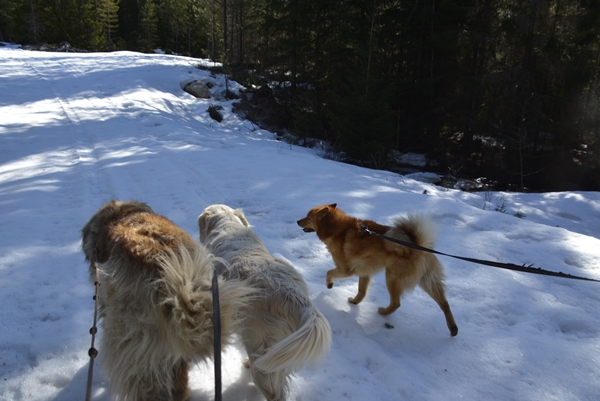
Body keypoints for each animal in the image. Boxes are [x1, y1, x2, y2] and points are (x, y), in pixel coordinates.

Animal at [296, 202, 460, 336]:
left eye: (308, 217)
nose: (297, 221)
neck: (336, 228)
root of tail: (418, 243)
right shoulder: (365, 271)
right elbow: (361, 291)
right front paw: (355, 301)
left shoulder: (346, 269)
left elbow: (329, 272)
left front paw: (329, 284)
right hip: (427, 280)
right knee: (444, 303)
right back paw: (453, 327)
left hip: (392, 278)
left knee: (396, 303)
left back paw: (384, 312)